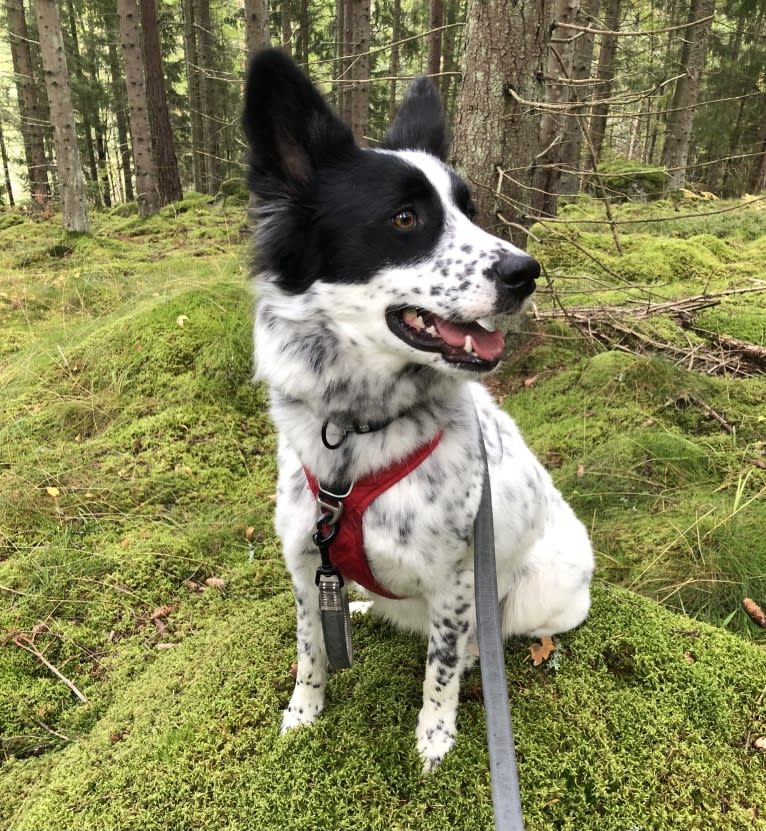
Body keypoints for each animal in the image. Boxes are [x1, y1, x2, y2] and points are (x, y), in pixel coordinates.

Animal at [243, 48, 596, 772]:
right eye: (405, 218)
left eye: (470, 209)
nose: (526, 272)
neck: (356, 430)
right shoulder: (304, 564)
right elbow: (310, 649)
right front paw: (304, 714)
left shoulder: (457, 578)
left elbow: (439, 667)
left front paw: (435, 738)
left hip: (537, 593)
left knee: (484, 639)